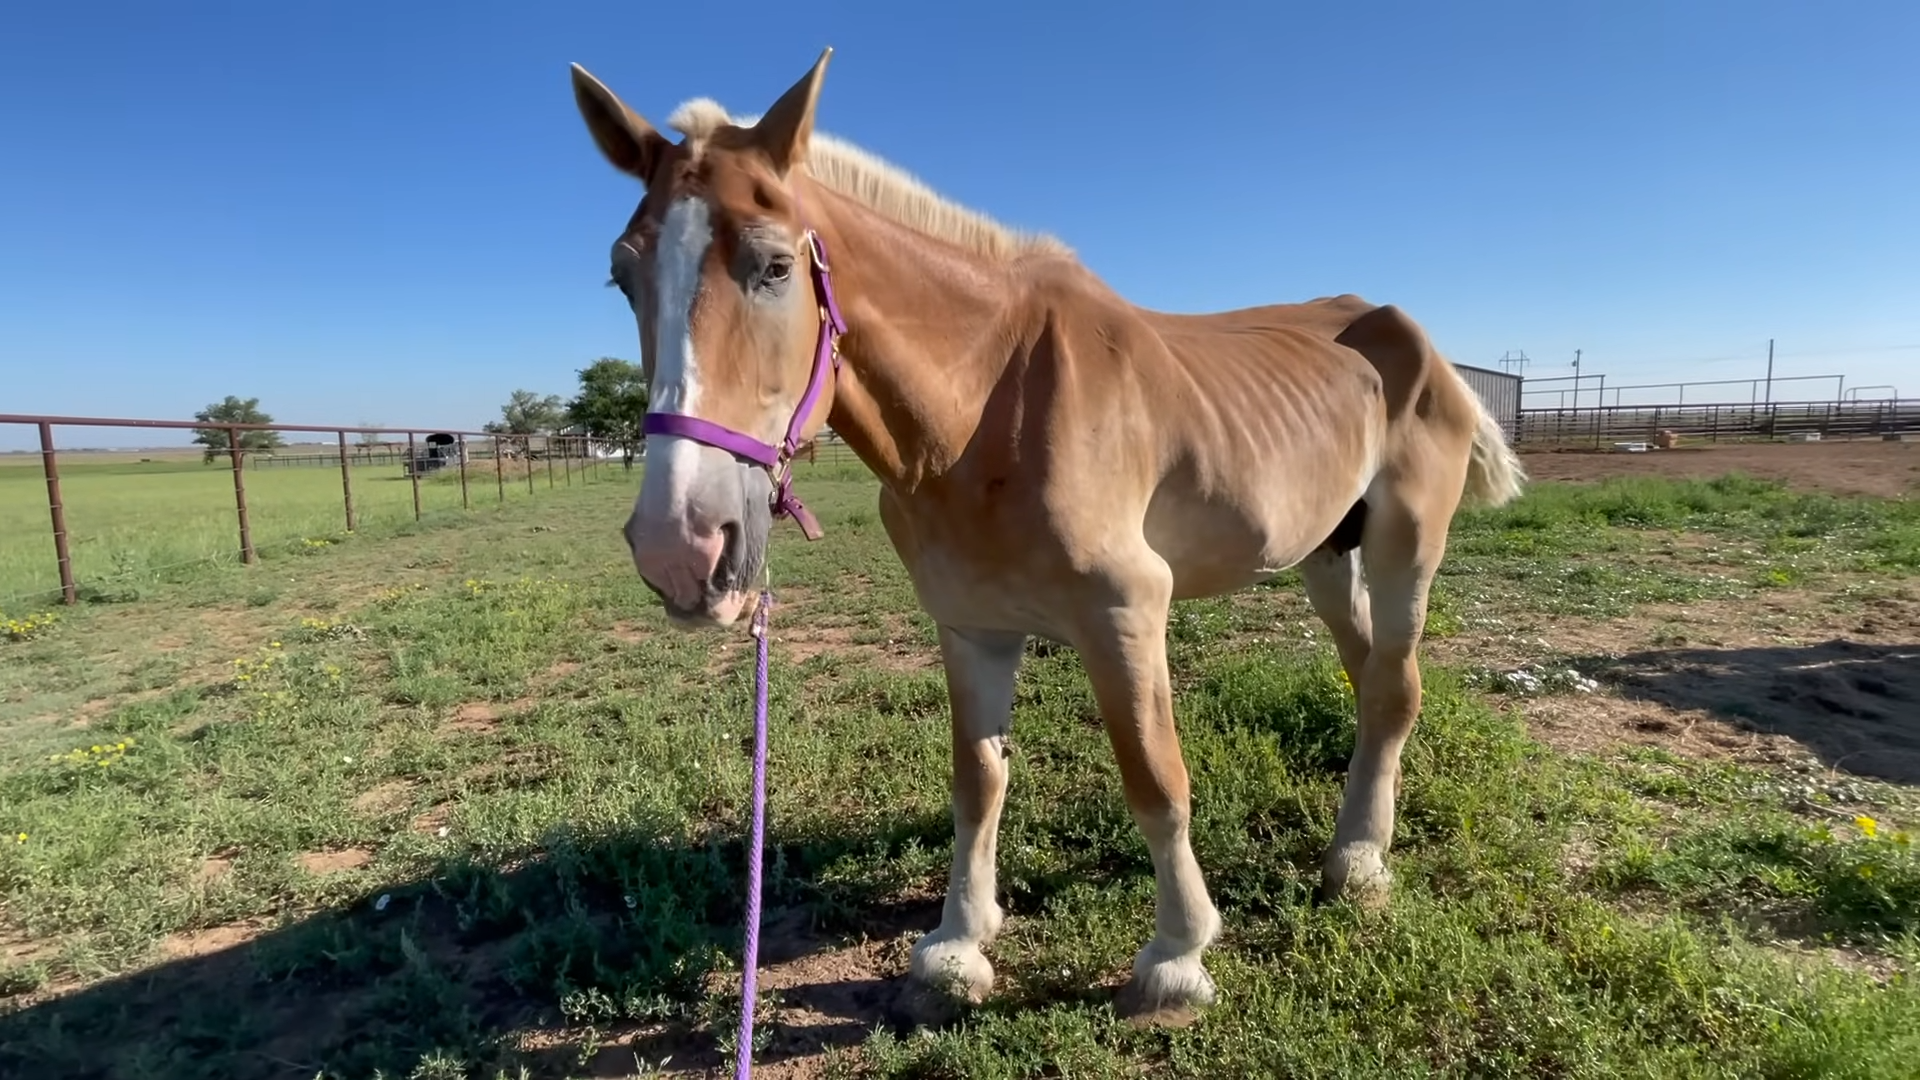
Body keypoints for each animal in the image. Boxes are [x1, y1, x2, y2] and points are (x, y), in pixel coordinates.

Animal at [560, 50, 1520, 1022]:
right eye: (622, 277)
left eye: (775, 266)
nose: (681, 546)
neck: (990, 403)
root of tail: (1411, 337)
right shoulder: (970, 623)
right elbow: (978, 780)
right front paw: (957, 944)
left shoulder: (1125, 612)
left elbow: (1155, 778)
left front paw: (1177, 957)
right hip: (1327, 552)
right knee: (1368, 679)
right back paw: (1356, 837)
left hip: (1406, 544)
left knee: (1394, 687)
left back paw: (1359, 865)